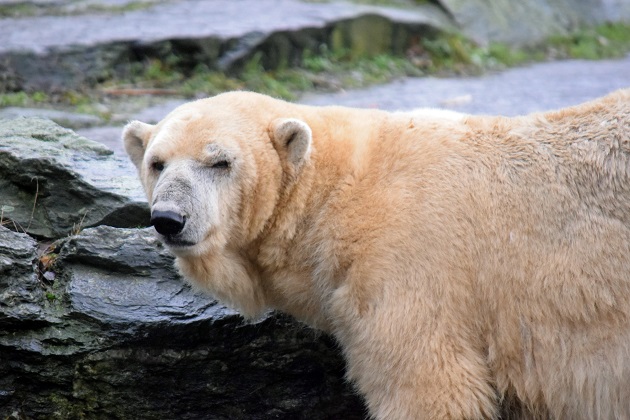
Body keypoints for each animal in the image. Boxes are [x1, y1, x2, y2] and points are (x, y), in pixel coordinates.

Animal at [123, 90, 630, 418]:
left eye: (220, 162)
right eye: (157, 162)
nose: (169, 219)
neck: (336, 192)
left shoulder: (407, 267)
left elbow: (429, 388)